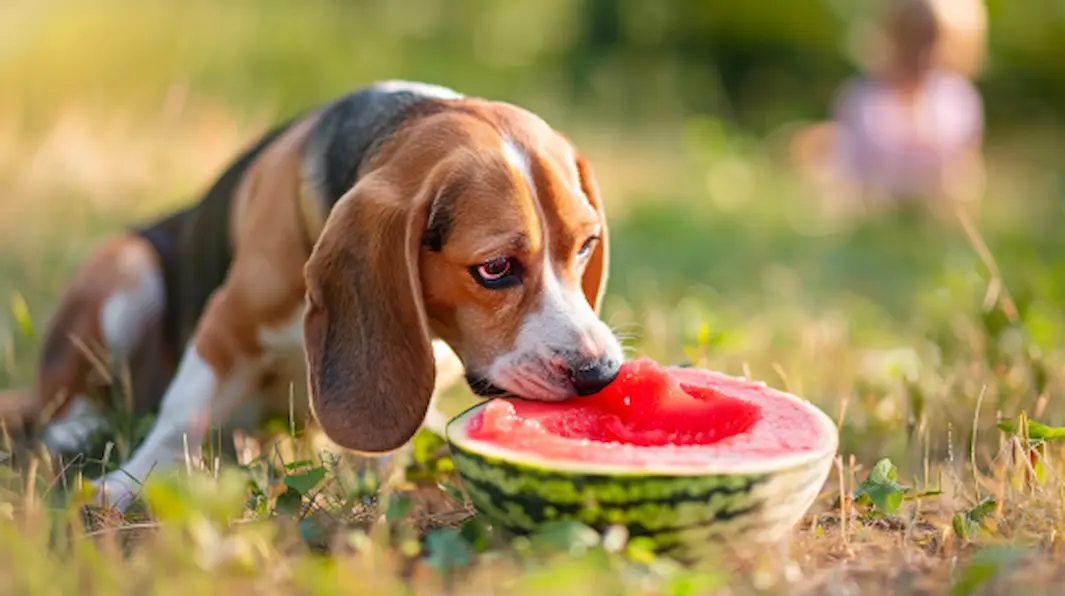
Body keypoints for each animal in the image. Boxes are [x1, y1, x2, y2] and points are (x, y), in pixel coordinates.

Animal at [18, 78, 621, 506]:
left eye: (586, 245)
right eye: (495, 268)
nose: (600, 373)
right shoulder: (226, 323)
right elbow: (181, 414)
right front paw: (127, 484)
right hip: (127, 266)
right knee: (64, 398)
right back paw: (75, 429)